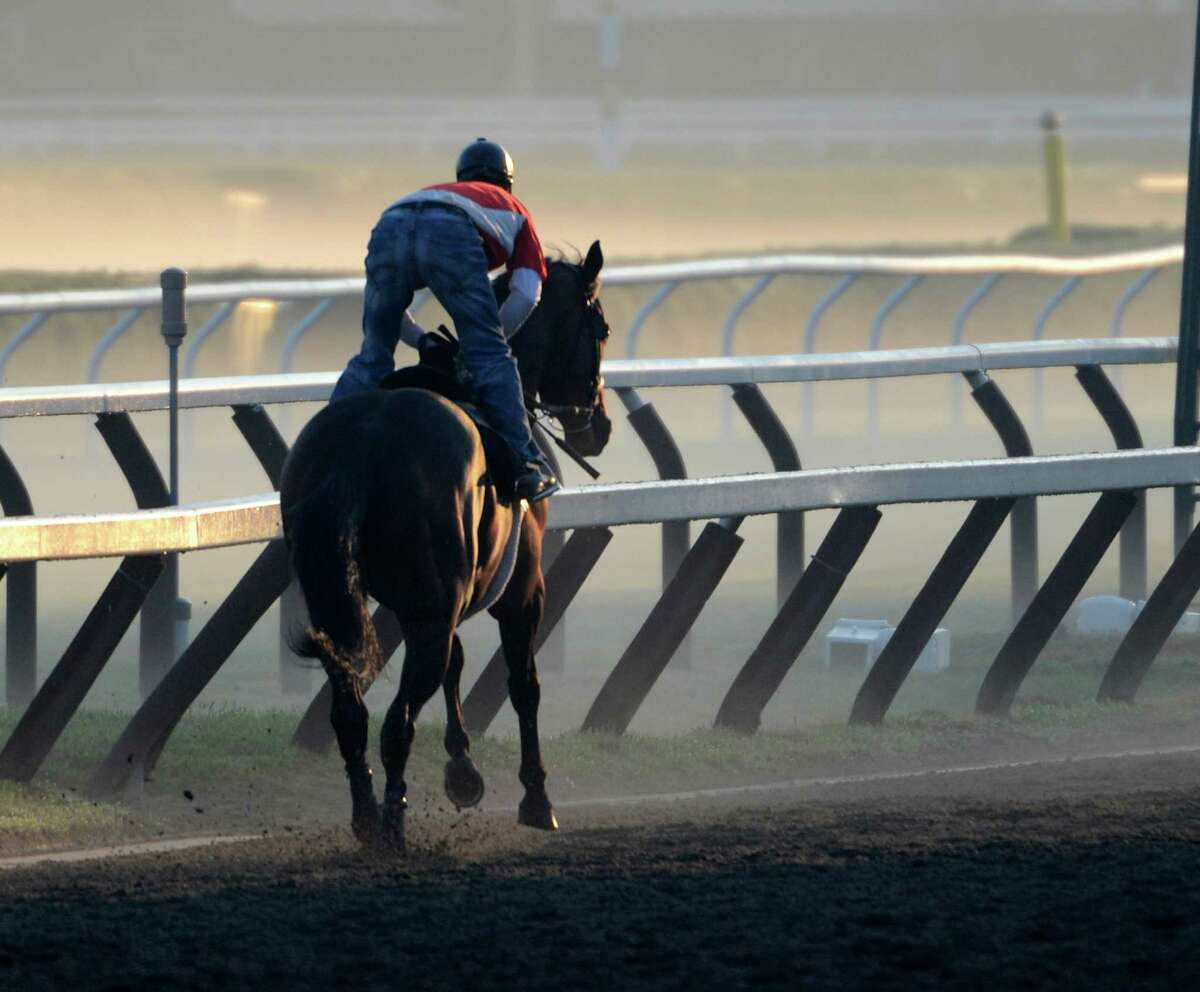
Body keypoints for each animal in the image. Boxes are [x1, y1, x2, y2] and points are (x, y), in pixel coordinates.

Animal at [278, 242, 609, 854]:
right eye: (600, 329)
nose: (598, 426)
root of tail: (363, 444)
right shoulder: (522, 588)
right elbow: (523, 683)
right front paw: (536, 798)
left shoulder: (430, 598)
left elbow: (457, 664)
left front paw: (463, 771)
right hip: (433, 606)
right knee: (398, 720)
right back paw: (392, 827)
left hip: (340, 597)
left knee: (352, 714)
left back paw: (366, 819)